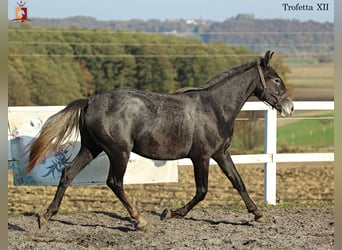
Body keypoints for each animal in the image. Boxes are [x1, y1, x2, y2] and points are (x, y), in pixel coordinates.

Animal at [26, 50, 294, 230]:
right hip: (119, 152)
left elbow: (238, 182)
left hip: (91, 148)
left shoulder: (220, 153)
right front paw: (170, 213)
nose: (290, 107)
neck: (215, 108)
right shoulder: (201, 157)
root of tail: (90, 101)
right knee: (114, 182)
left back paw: (45, 216)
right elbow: (202, 191)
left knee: (68, 173)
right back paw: (140, 220)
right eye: (276, 79)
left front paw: (258, 213)